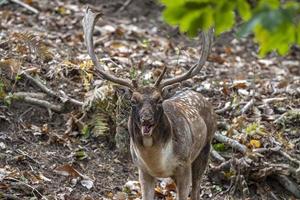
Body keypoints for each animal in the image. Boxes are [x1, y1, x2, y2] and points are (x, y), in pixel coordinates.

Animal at [83, 7, 217, 200]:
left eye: (159, 100)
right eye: (133, 101)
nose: (146, 119)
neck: (157, 163)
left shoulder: (183, 165)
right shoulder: (142, 170)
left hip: (204, 148)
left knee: (197, 190)